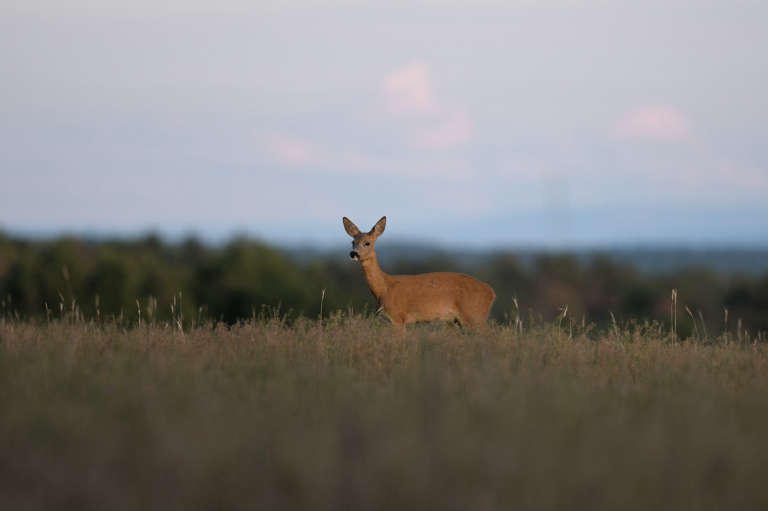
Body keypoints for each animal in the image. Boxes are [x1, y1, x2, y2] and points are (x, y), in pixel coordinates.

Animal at [344, 215, 498, 332]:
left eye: (367, 243)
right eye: (353, 242)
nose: (353, 253)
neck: (384, 288)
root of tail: (491, 292)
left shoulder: (398, 316)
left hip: (474, 315)